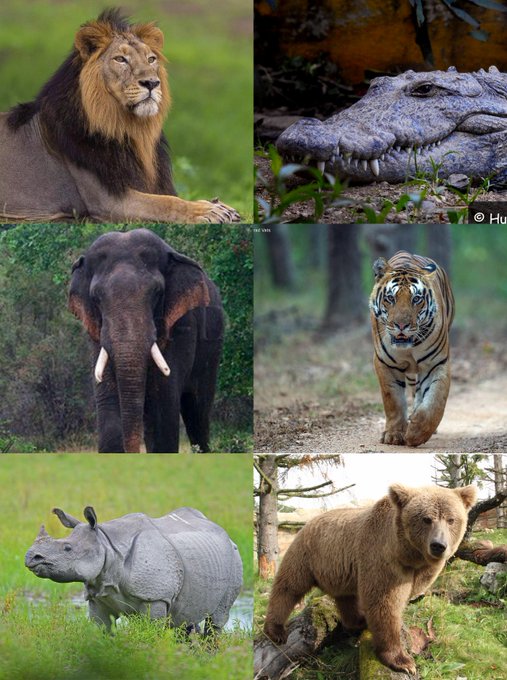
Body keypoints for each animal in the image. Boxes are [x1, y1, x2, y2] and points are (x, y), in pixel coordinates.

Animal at [0, 9, 240, 223]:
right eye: (121, 59)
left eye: (151, 59)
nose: (152, 83)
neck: (129, 129)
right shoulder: (108, 201)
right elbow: (165, 202)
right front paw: (207, 210)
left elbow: (168, 196)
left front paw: (217, 204)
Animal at [69, 229, 224, 453]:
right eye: (96, 298)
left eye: (157, 293)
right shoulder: (95, 334)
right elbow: (109, 404)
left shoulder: (181, 325)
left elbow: (161, 408)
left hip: (212, 346)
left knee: (197, 412)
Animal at [263, 483, 477, 675]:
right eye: (426, 519)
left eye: (451, 519)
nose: (438, 545)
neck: (408, 554)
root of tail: (308, 522)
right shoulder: (382, 559)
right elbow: (384, 603)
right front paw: (403, 661)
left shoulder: (418, 571)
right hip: (307, 554)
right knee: (289, 587)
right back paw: (276, 630)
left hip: (338, 570)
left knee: (345, 597)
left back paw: (357, 621)